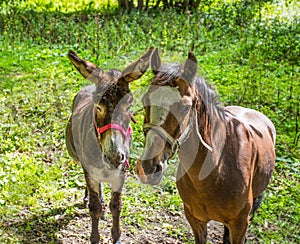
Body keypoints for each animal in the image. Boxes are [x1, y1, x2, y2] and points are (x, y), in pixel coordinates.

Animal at [66, 48, 155, 244]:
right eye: (98, 107)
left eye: (129, 106)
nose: (114, 156)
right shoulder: (90, 170)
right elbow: (94, 208)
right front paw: (95, 238)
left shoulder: (121, 172)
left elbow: (116, 206)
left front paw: (116, 237)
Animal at [136, 48, 276, 243]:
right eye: (145, 101)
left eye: (185, 108)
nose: (148, 167)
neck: (217, 167)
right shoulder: (196, 219)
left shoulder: (240, 225)